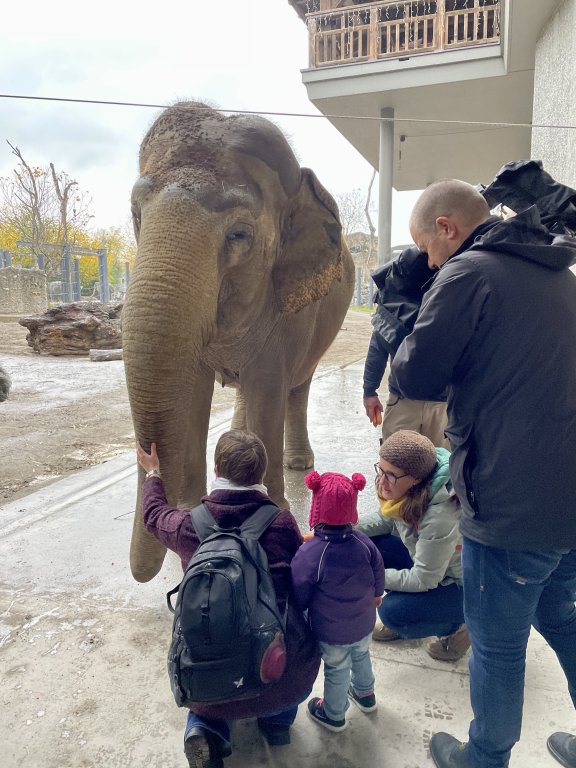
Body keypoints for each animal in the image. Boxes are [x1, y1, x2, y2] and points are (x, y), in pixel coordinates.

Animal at [123, 102, 354, 584]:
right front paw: (193, 511)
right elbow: (192, 392)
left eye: (239, 235)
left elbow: (268, 387)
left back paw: (298, 465)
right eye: (136, 216)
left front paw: (274, 508)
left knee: (295, 386)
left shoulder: (289, 306)